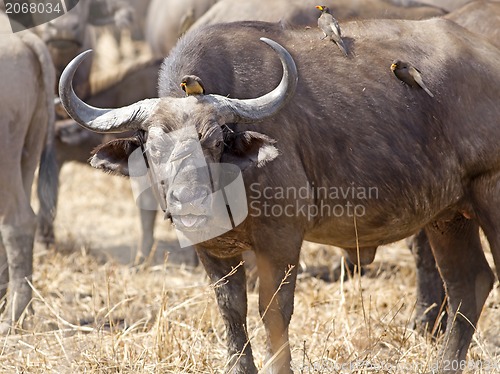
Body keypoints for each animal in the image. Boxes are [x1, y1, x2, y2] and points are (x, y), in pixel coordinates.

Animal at [61, 20, 500, 374]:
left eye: (215, 141)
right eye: (152, 148)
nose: (189, 202)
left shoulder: (282, 237)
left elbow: (273, 310)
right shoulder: (211, 249)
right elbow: (231, 309)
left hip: (488, 194)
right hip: (448, 216)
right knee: (469, 284)